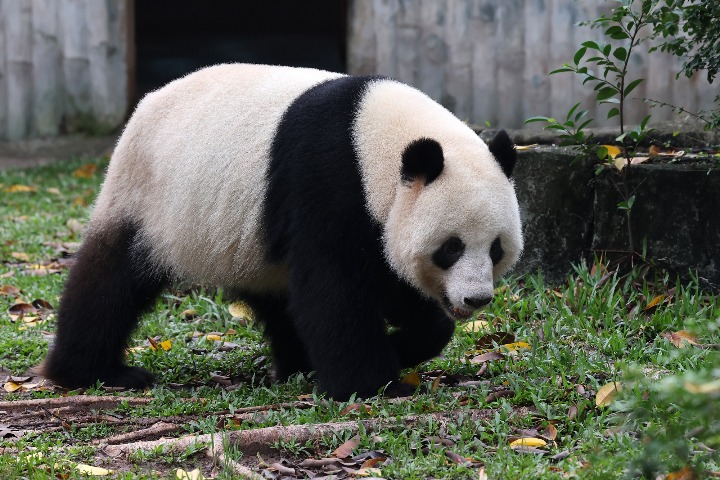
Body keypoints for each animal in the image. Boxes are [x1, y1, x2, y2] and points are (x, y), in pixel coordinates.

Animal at [41, 63, 523, 400]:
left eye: (495, 249)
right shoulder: (328, 179)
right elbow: (335, 289)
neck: (375, 140)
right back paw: (94, 372)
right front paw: (373, 384)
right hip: (151, 199)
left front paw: (402, 345)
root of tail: (144, 104)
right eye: (451, 248)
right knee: (112, 279)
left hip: (244, 241)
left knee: (279, 297)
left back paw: (299, 364)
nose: (476, 299)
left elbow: (394, 285)